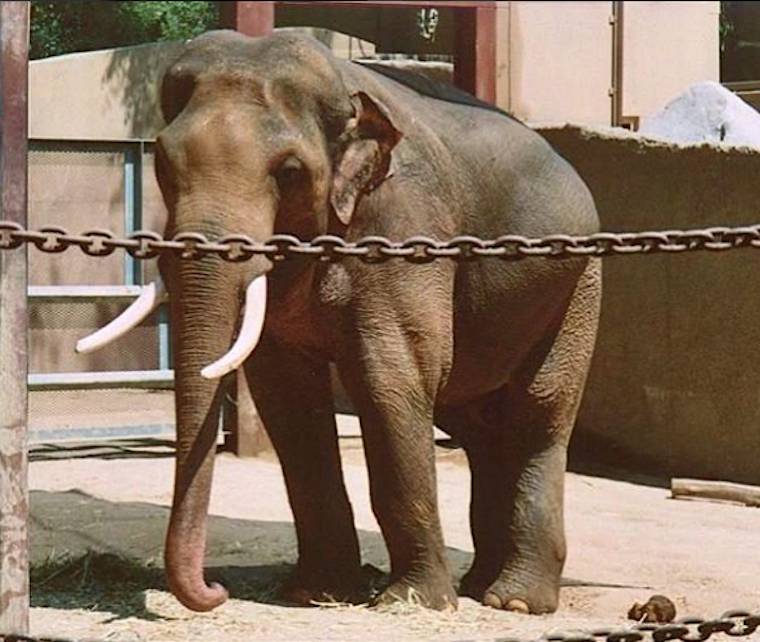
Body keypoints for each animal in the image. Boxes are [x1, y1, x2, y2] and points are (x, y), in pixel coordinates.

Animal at [77, 30, 601, 614]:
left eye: (288, 172)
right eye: (164, 165)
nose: (217, 589)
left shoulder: (405, 227)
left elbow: (390, 376)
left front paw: (409, 603)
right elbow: (286, 394)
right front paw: (318, 592)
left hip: (578, 284)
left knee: (539, 412)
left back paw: (514, 602)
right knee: (475, 423)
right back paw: (478, 586)